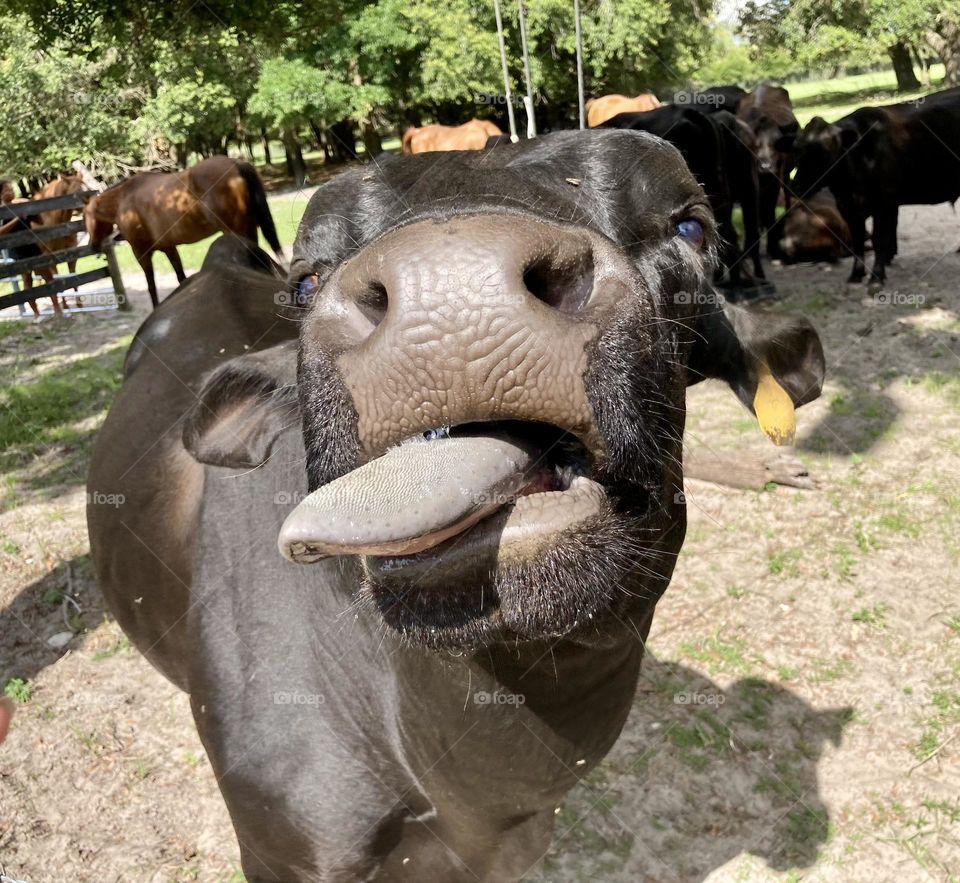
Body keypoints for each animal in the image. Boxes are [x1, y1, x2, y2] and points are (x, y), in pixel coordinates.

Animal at [737, 84, 799, 257]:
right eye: (753, 144)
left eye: (776, 143)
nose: (766, 167)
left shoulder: (775, 178)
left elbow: (769, 209)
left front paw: (772, 247)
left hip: (785, 175)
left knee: (786, 194)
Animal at [780, 87, 960, 286]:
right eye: (796, 151)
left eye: (824, 152)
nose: (797, 186)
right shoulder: (847, 208)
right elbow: (858, 240)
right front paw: (856, 274)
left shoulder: (885, 204)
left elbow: (879, 239)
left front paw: (876, 277)